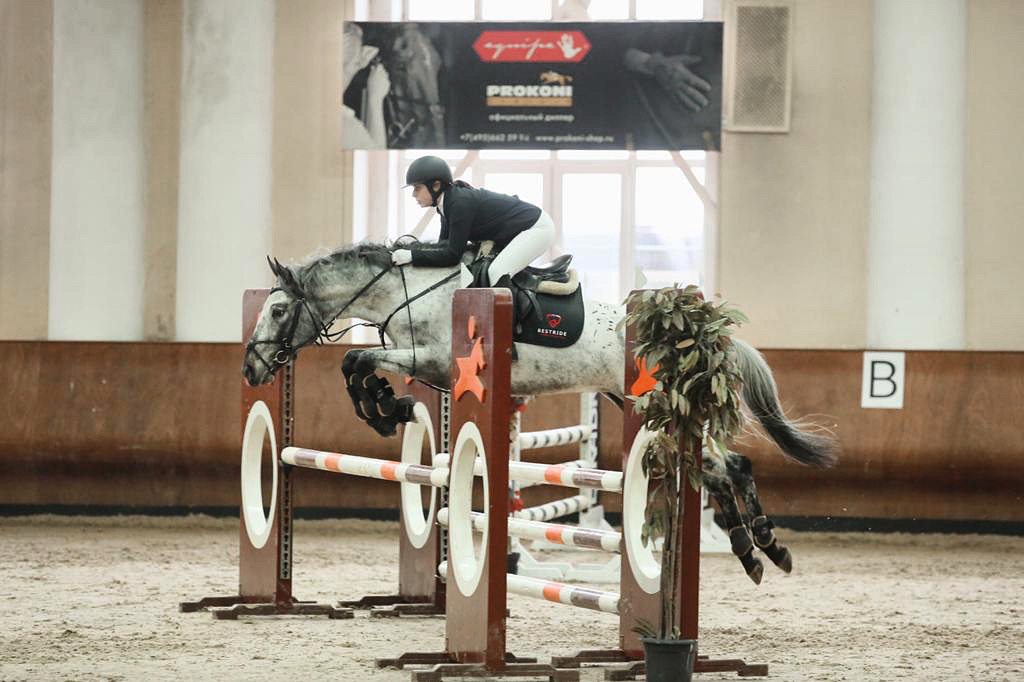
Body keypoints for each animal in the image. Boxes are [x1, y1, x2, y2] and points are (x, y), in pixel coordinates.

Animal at [241, 242, 839, 583]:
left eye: (279, 309)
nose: (251, 369)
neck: (411, 291)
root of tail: (692, 333)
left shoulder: (435, 359)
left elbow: (357, 357)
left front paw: (386, 409)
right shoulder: (430, 366)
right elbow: (357, 362)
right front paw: (390, 407)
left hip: (656, 409)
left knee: (725, 466)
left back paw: (760, 545)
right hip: (642, 406)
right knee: (721, 468)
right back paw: (758, 548)